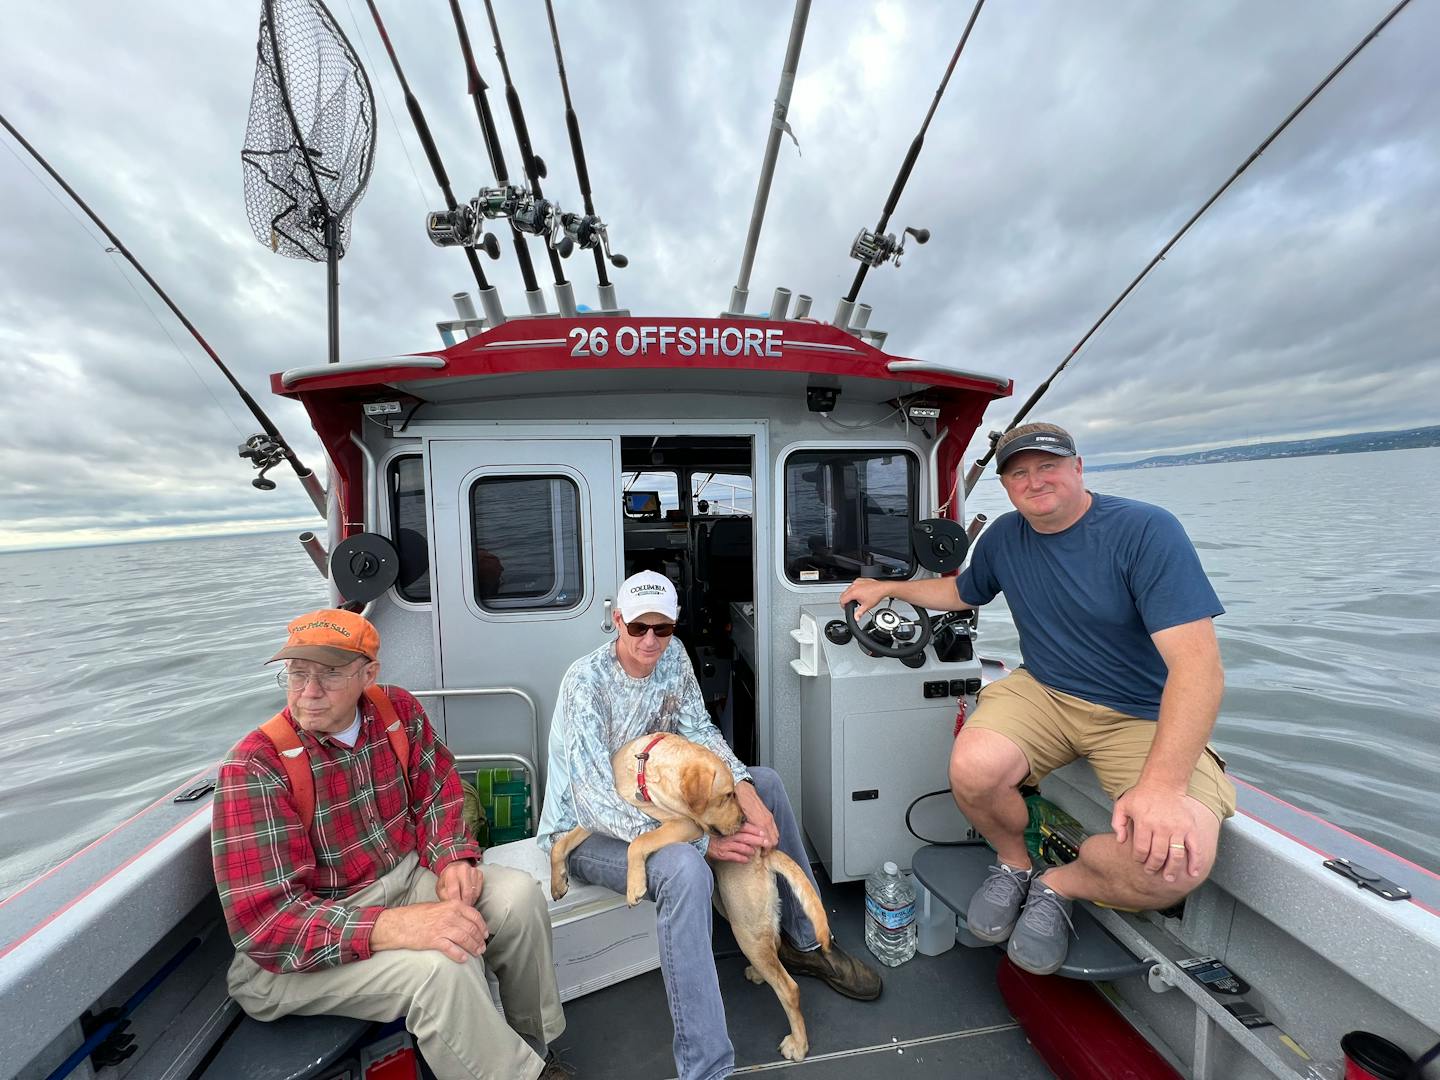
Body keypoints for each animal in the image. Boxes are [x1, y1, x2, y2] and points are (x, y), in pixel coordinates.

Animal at [547, 731, 835, 1059]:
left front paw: (634, 884)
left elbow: (640, 840)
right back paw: (760, 975)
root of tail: (765, 853)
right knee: (773, 947)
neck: (646, 774)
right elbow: (563, 843)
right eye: (727, 796)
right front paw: (557, 882)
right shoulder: (600, 813)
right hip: (735, 910)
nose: (744, 822)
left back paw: (798, 1044)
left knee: (789, 988)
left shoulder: (684, 825)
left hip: (744, 924)